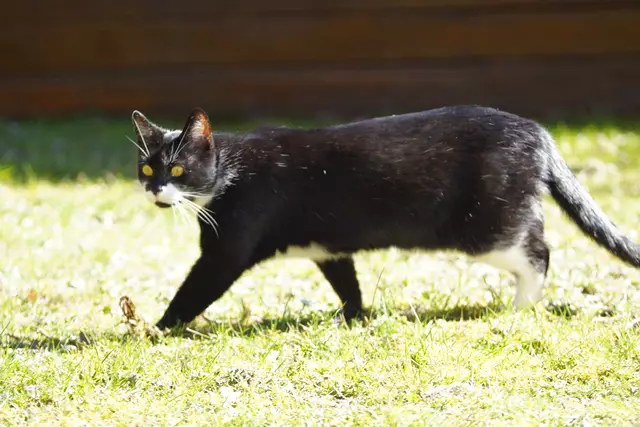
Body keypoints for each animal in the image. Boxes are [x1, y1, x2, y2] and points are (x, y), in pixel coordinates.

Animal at [130, 105, 640, 330]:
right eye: (147, 168)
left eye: (178, 170)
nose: (155, 188)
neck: (231, 169)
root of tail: (538, 132)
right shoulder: (328, 248)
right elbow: (347, 282)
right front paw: (354, 317)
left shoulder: (227, 248)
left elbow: (195, 288)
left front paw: (155, 329)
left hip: (487, 226)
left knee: (538, 249)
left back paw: (520, 307)